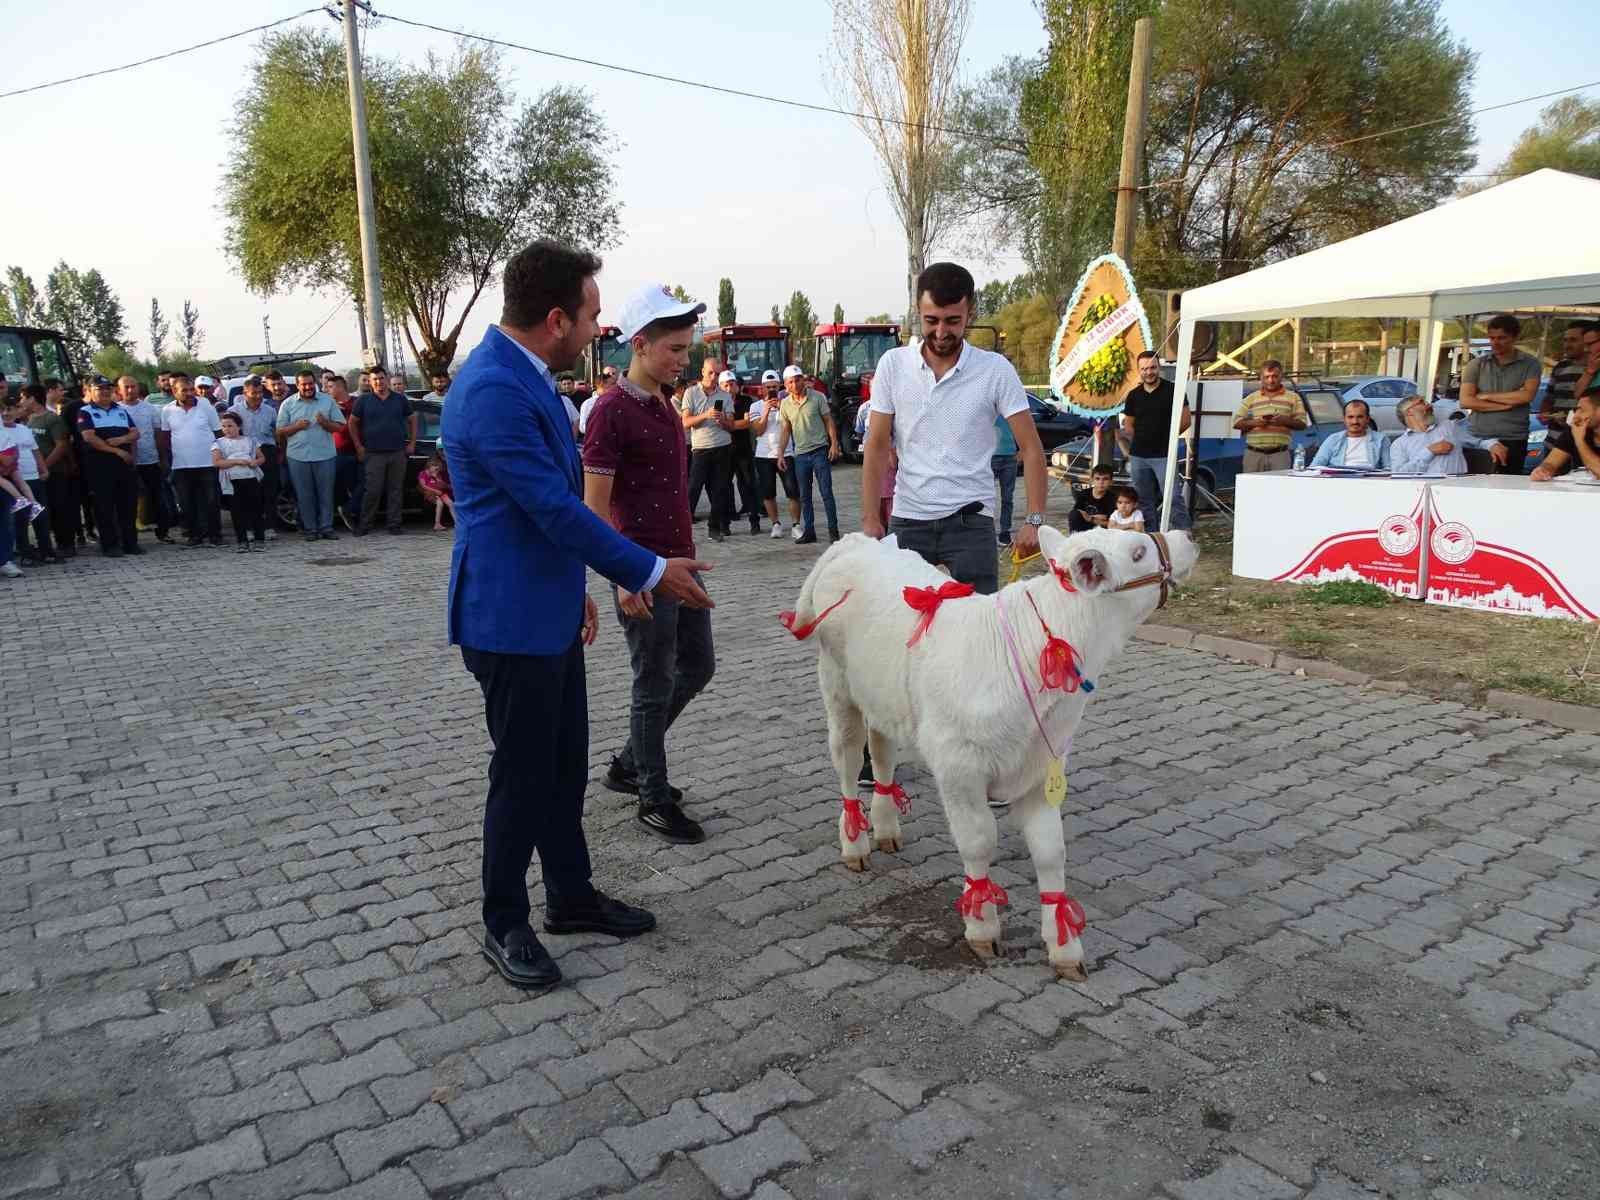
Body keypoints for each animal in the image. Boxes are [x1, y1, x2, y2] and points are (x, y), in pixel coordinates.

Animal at [780, 531, 1196, 979]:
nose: (1187, 537)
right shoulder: (958, 769)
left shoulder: (1041, 768)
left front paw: (1065, 948)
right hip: (838, 689)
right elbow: (979, 842)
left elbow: (1051, 851)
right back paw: (855, 846)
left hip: (881, 696)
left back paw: (887, 829)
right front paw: (982, 927)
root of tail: (856, 543)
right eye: (1138, 552)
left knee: (882, 751)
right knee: (848, 761)